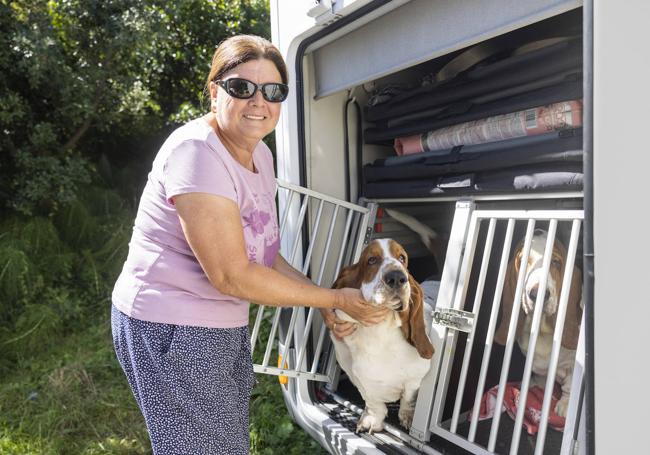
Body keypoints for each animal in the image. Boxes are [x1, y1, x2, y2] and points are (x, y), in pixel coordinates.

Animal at [332, 239, 432, 434]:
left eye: (402, 258)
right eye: (371, 259)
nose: (397, 277)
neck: (378, 335)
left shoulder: (415, 378)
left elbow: (408, 399)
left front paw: (407, 417)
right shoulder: (359, 380)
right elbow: (374, 403)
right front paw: (371, 420)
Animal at [492, 230, 584, 418]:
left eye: (556, 262)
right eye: (522, 261)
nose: (537, 294)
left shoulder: (572, 365)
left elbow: (569, 385)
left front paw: (565, 405)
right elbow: (540, 376)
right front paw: (534, 386)